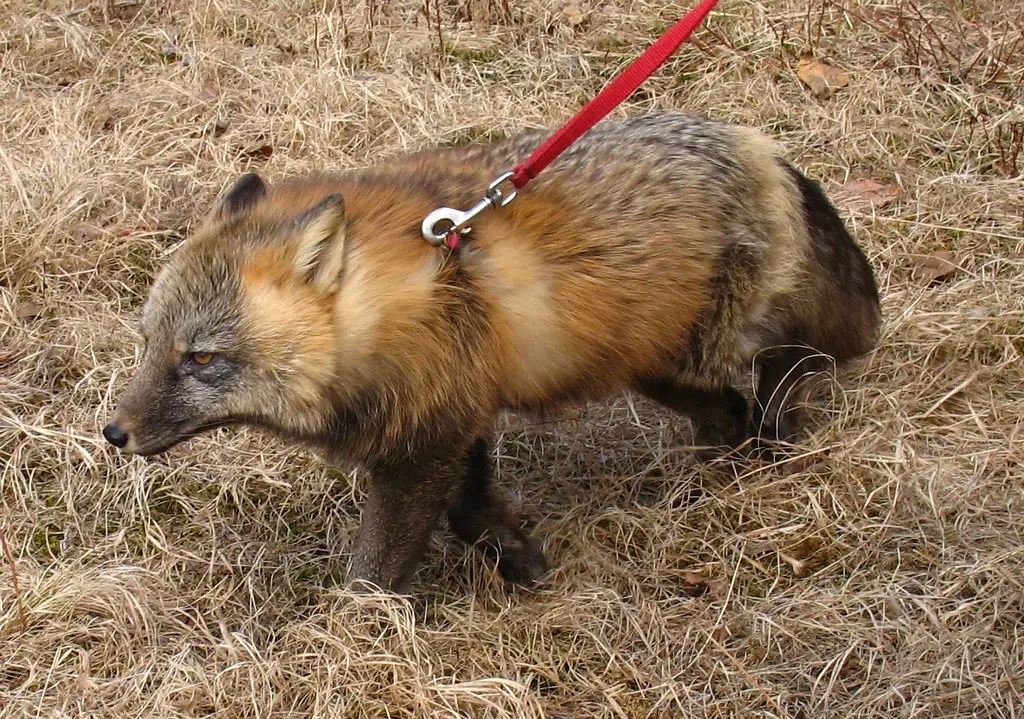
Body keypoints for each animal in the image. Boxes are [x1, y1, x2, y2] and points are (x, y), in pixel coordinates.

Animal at [103, 112, 881, 593]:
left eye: (201, 359)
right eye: (148, 345)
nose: (113, 432)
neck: (392, 307)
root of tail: (757, 145)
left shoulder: (422, 443)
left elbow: (374, 571)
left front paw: (353, 640)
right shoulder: (454, 413)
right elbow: (471, 510)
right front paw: (521, 559)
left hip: (698, 350)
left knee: (789, 365)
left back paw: (783, 427)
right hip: (655, 367)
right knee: (726, 414)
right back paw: (702, 489)